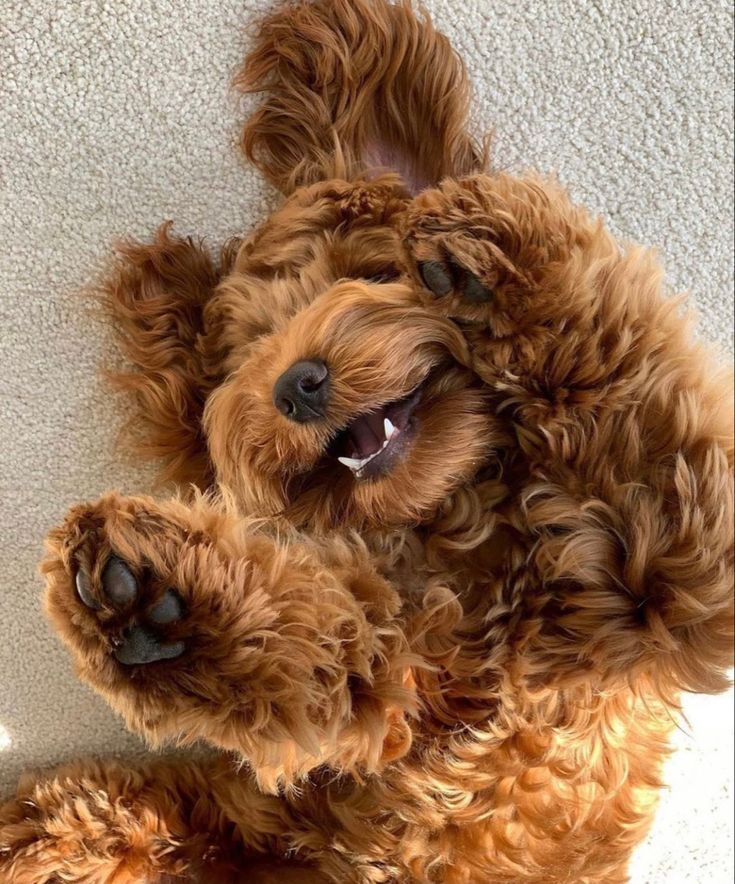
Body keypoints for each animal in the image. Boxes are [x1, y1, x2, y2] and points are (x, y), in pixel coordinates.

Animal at [2, 1, 732, 884]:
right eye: (250, 353)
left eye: (373, 275)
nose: (294, 384)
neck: (465, 548)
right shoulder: (390, 683)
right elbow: (322, 651)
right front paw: (161, 603)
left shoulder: (663, 568)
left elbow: (619, 396)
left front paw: (495, 249)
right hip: (232, 824)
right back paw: (45, 829)